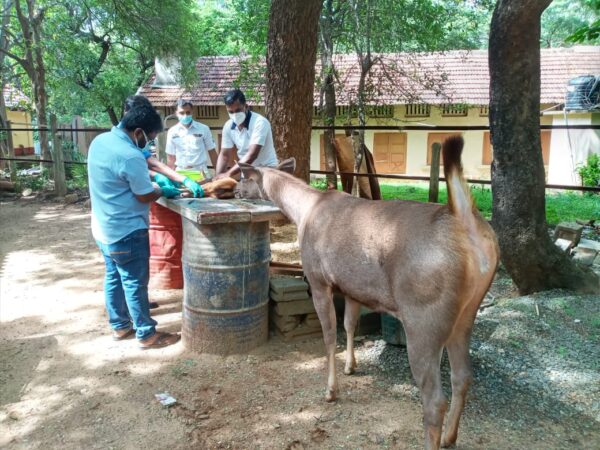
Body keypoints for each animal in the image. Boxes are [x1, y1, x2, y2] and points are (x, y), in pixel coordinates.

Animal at [237, 137, 500, 450]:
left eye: (242, 175)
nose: (234, 189)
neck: (303, 213)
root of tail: (467, 224)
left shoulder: (318, 280)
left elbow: (330, 337)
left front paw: (331, 391)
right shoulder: (352, 286)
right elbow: (350, 324)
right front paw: (351, 366)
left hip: (424, 316)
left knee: (435, 400)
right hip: (467, 313)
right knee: (463, 376)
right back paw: (450, 437)